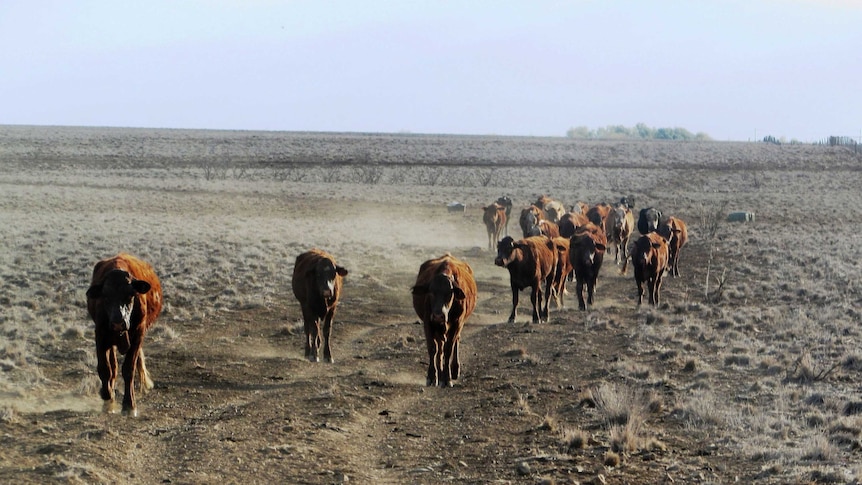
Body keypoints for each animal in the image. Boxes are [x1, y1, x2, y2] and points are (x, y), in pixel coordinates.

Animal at [87, 253, 163, 416]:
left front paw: (129, 405)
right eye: (105, 296)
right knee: (113, 367)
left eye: (130, 294)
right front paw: (107, 394)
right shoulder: (101, 335)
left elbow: (128, 369)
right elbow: (105, 368)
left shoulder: (138, 336)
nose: (118, 322)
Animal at [412, 253, 480, 386]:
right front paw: (432, 377)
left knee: (455, 342)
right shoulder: (428, 323)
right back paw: (440, 370)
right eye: (431, 292)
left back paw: (453, 370)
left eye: (449, 293)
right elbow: (433, 348)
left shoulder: (457, 323)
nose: (439, 315)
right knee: (440, 348)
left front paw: (447, 378)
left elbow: (449, 349)